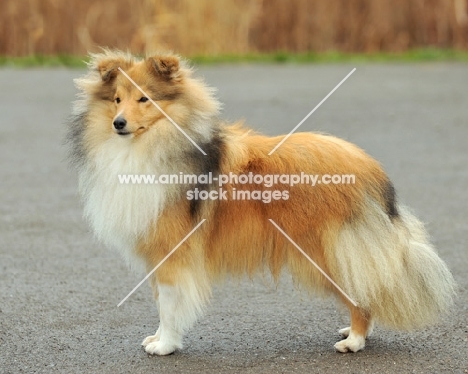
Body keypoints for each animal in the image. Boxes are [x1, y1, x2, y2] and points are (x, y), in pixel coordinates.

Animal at [67, 50, 456, 356]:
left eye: (145, 99)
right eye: (117, 99)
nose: (118, 124)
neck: (148, 147)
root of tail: (371, 169)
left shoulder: (172, 250)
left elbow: (169, 302)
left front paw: (165, 346)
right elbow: (162, 301)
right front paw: (160, 339)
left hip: (326, 252)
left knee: (360, 293)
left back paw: (354, 341)